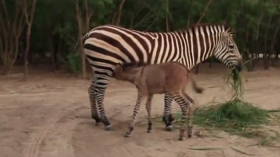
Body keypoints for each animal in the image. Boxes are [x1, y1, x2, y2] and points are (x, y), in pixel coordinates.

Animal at [83, 23, 243, 131]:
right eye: (231, 47)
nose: (241, 67)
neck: (188, 50)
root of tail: (90, 32)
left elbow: (169, 98)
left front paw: (168, 118)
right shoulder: (173, 72)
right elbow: (168, 99)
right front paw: (168, 121)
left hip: (99, 67)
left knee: (91, 90)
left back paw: (96, 118)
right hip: (104, 65)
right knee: (99, 93)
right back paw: (106, 122)